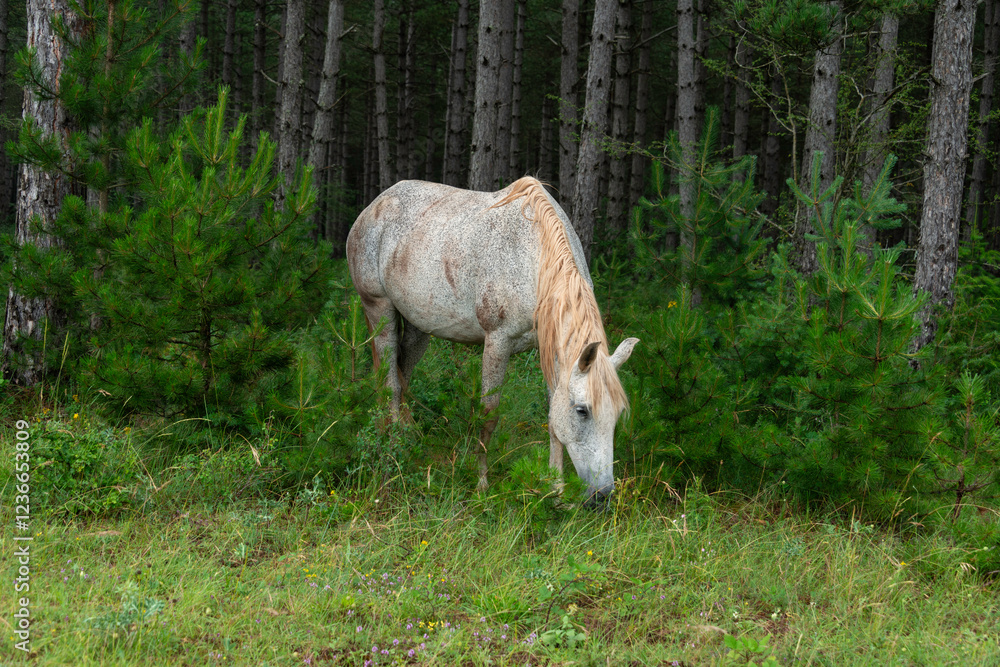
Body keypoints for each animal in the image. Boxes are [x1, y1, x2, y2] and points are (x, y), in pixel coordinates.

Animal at [346, 176, 638, 506]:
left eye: (617, 415)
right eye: (582, 411)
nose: (602, 495)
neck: (535, 262)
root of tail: (376, 205)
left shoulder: (551, 353)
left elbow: (553, 419)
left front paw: (556, 490)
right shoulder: (498, 341)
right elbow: (489, 412)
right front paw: (481, 484)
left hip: (418, 328)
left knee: (402, 374)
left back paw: (407, 437)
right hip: (379, 310)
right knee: (391, 385)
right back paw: (393, 451)